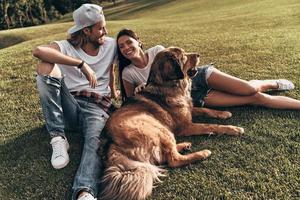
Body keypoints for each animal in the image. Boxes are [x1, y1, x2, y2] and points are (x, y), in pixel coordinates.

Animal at [100, 47, 244, 200]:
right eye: (183, 57)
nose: (198, 54)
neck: (168, 85)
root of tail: (110, 142)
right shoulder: (186, 126)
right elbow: (211, 125)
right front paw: (234, 129)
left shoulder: (189, 109)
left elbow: (206, 110)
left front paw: (224, 113)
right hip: (158, 129)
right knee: (173, 160)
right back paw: (202, 153)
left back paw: (185, 145)